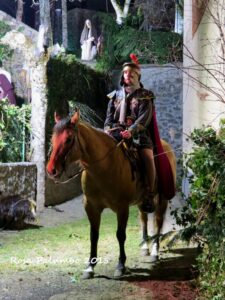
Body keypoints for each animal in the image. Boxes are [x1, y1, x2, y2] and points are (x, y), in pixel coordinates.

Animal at [46, 111, 176, 280]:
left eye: (68, 139)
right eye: (52, 139)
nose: (51, 170)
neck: (104, 167)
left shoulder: (122, 208)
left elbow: (120, 235)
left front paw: (120, 265)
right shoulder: (91, 207)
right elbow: (94, 235)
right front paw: (90, 267)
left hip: (162, 199)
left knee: (158, 221)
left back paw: (154, 251)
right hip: (142, 201)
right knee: (144, 219)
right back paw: (144, 247)